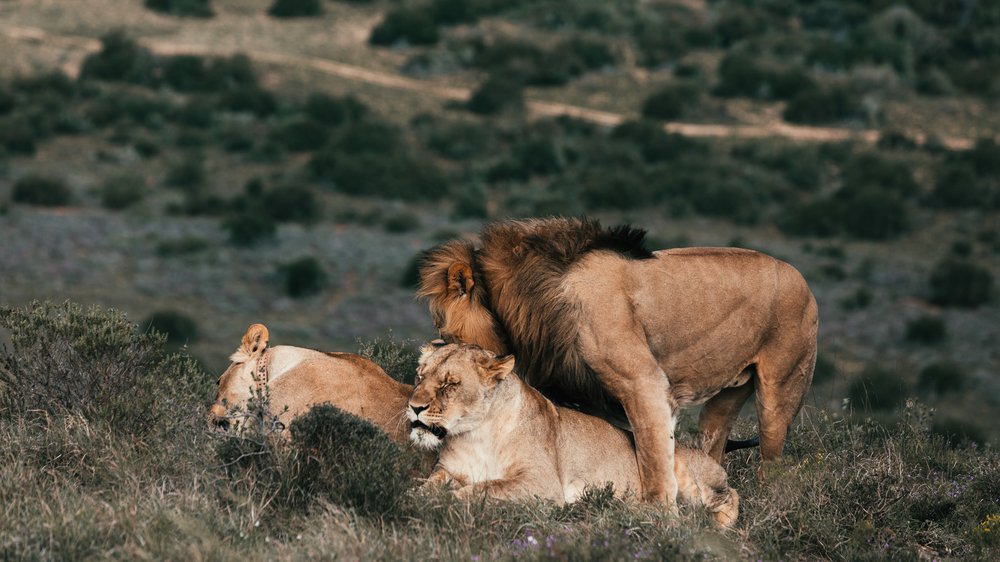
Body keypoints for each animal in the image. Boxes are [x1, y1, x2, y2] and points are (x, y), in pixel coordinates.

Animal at [406, 342, 744, 524]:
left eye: (450, 384)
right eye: (420, 376)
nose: (414, 407)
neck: (475, 433)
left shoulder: (541, 482)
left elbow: (480, 489)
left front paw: (443, 503)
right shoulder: (448, 469)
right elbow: (427, 486)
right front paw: (418, 497)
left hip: (683, 471)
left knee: (728, 495)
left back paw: (716, 526)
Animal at [418, 218, 816, 504]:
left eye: (446, 331)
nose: (432, 347)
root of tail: (803, 279)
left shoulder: (645, 384)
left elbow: (653, 461)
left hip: (780, 395)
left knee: (772, 466)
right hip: (722, 404)